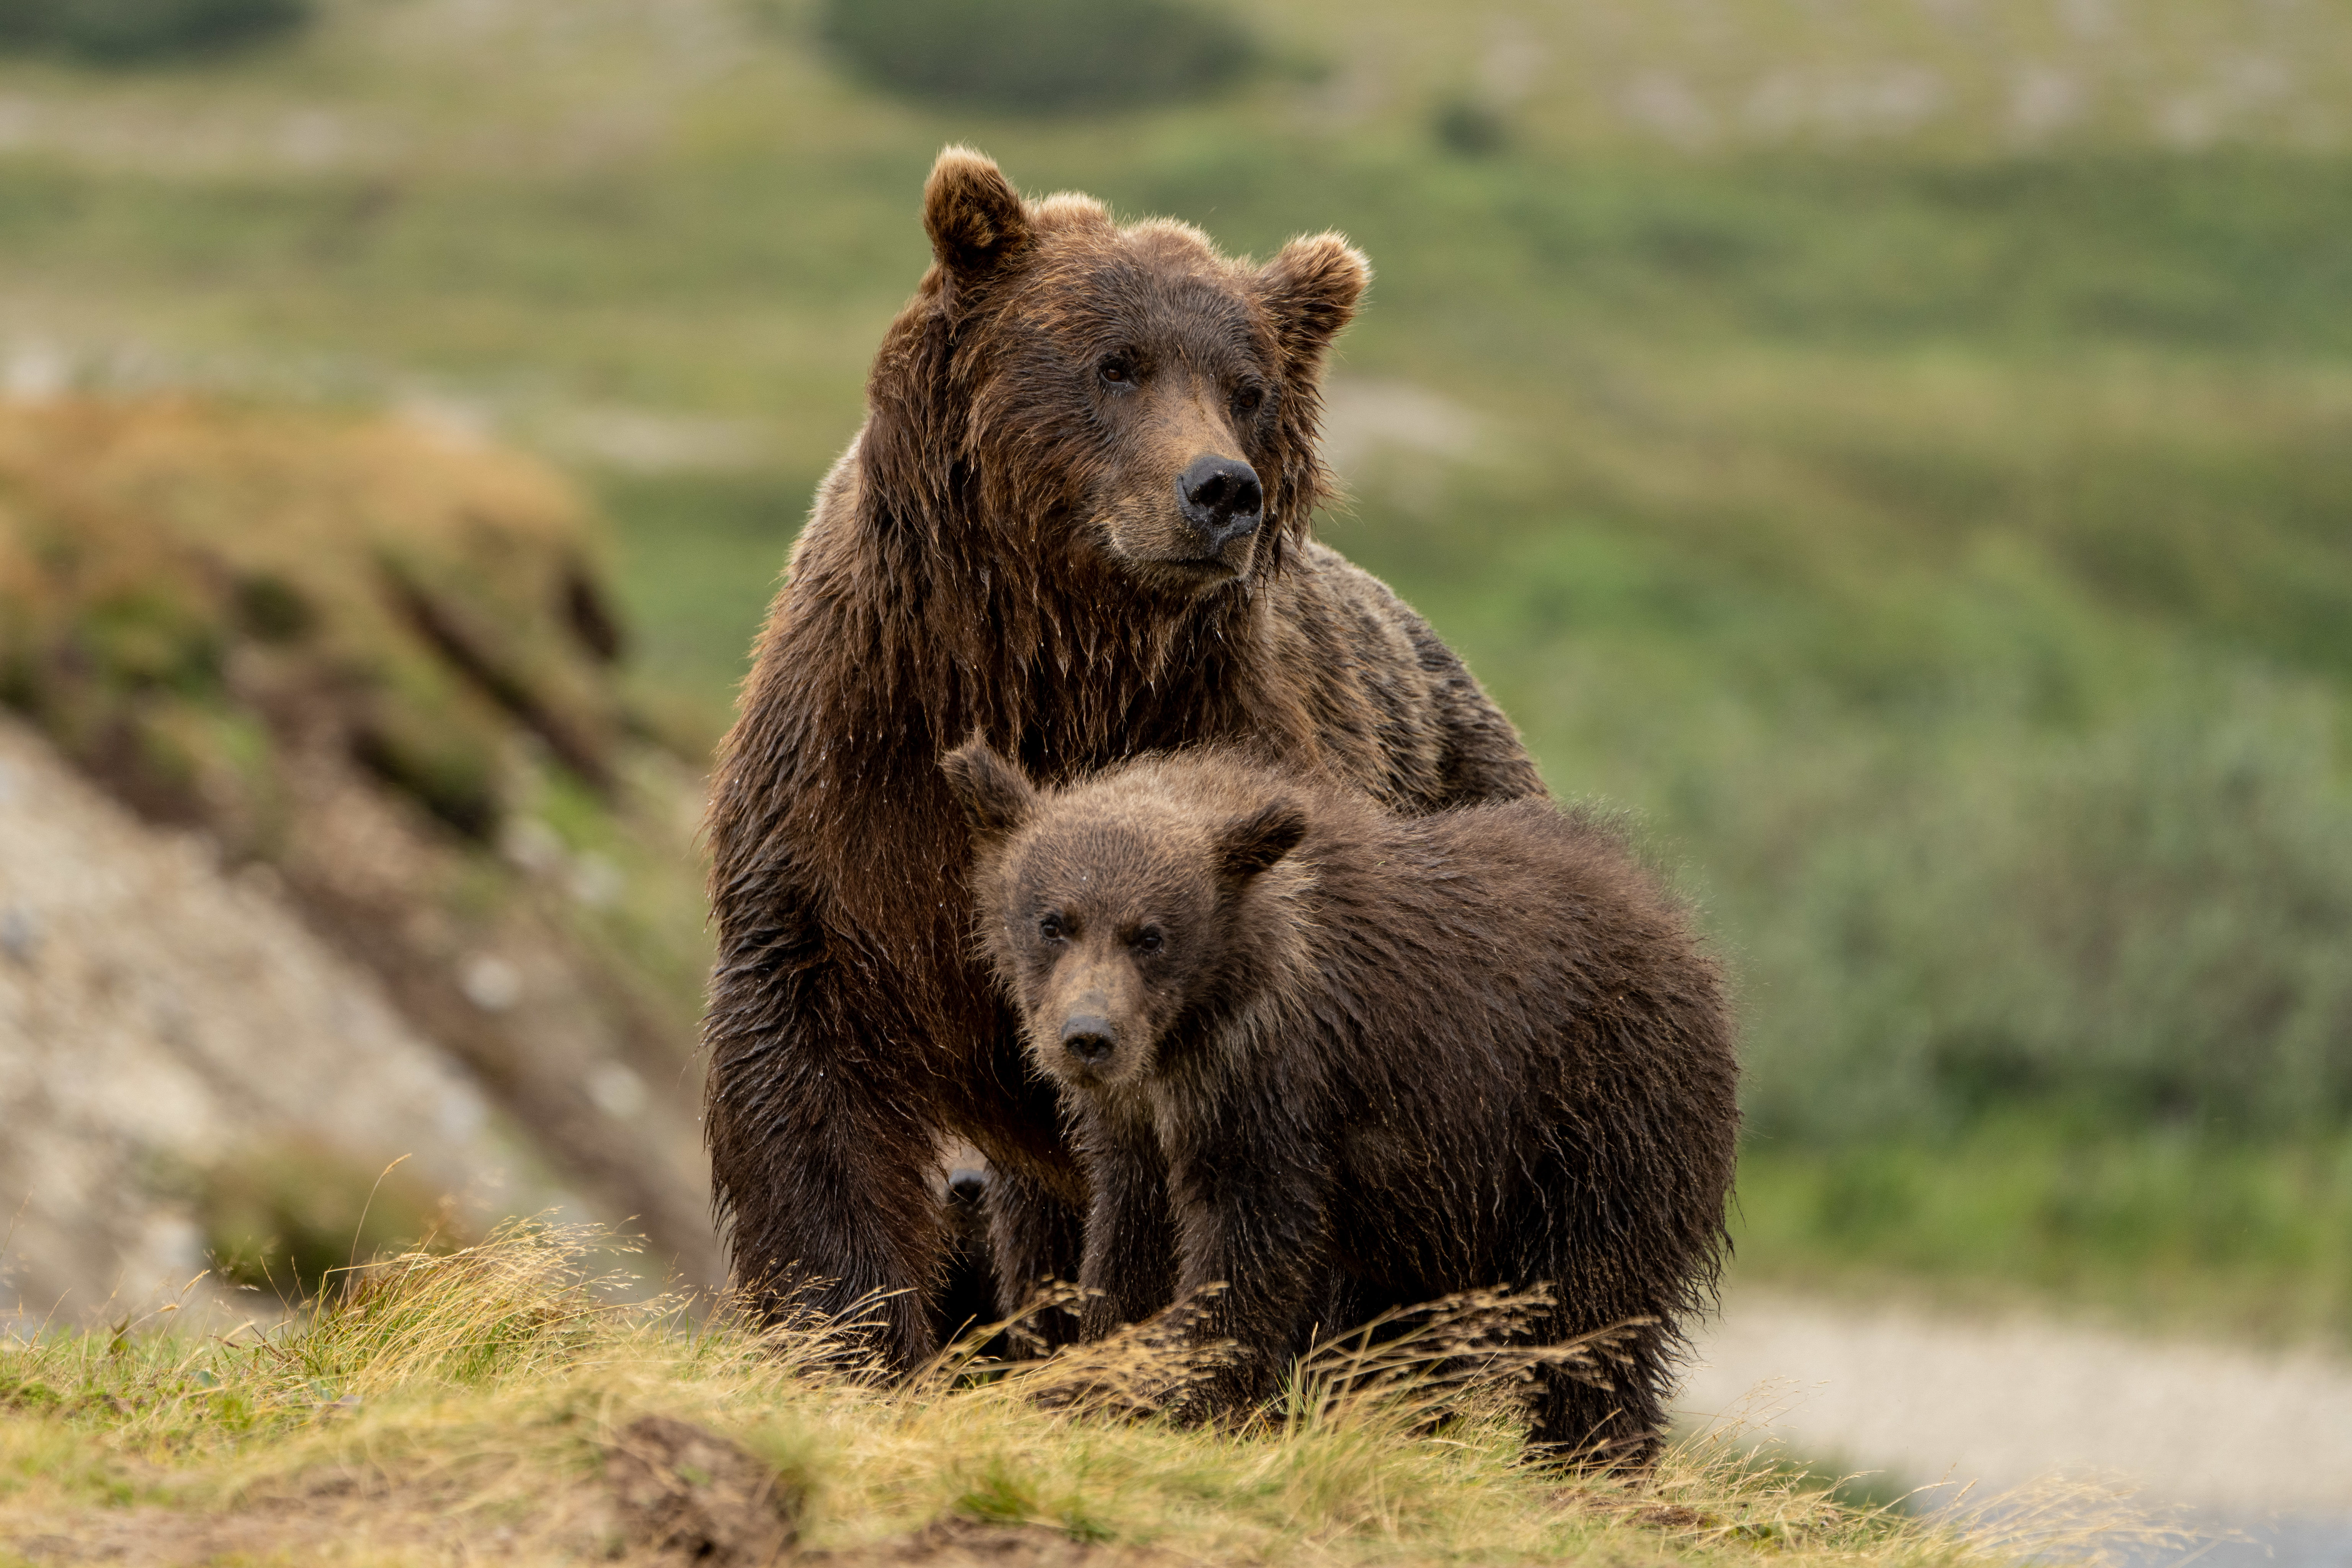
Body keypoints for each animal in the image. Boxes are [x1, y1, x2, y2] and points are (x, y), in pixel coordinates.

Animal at [696, 144, 1552, 1373]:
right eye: (1117, 365)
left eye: (1247, 386)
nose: (1222, 490)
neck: (1056, 662)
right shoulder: (852, 783)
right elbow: (805, 1076)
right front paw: (855, 1340)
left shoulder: (1227, 757)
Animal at [941, 743, 1750, 1467]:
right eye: (1053, 922)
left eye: (1150, 935)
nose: (1088, 1037)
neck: (1196, 1025)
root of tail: (1684, 935)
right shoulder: (1138, 1124)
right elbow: (1129, 1234)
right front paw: (1094, 1373)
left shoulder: (1279, 1089)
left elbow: (1249, 1240)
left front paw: (1187, 1394)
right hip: (1436, 1205)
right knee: (1406, 1324)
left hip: (1593, 1119)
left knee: (1592, 1303)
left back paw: (1589, 1457)